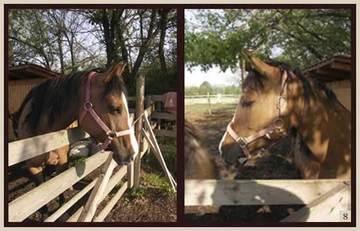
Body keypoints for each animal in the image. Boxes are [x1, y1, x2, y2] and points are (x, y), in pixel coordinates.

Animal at [13, 62, 139, 215]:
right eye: (114, 107)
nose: (133, 153)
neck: (42, 139)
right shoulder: (33, 167)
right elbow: (41, 188)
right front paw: (44, 210)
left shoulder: (62, 162)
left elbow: (59, 189)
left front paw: (61, 206)